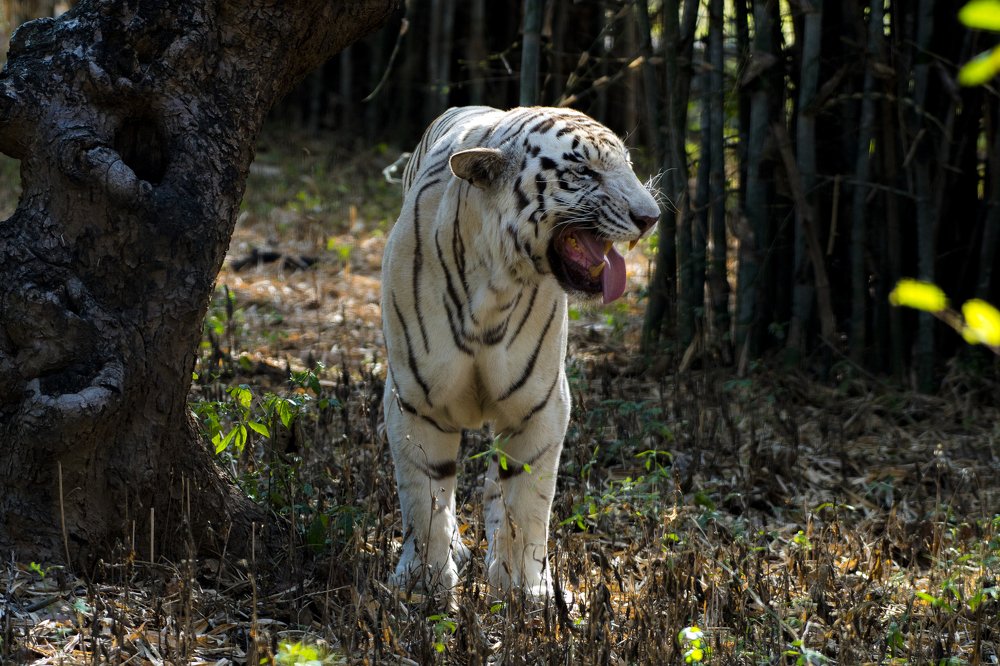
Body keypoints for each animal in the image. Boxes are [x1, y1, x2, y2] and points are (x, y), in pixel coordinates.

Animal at [381, 106, 659, 599]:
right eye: (584, 171)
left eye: (626, 164)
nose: (651, 216)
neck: (496, 287)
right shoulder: (414, 400)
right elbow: (424, 497)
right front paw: (424, 583)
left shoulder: (539, 405)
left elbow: (527, 504)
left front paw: (525, 591)